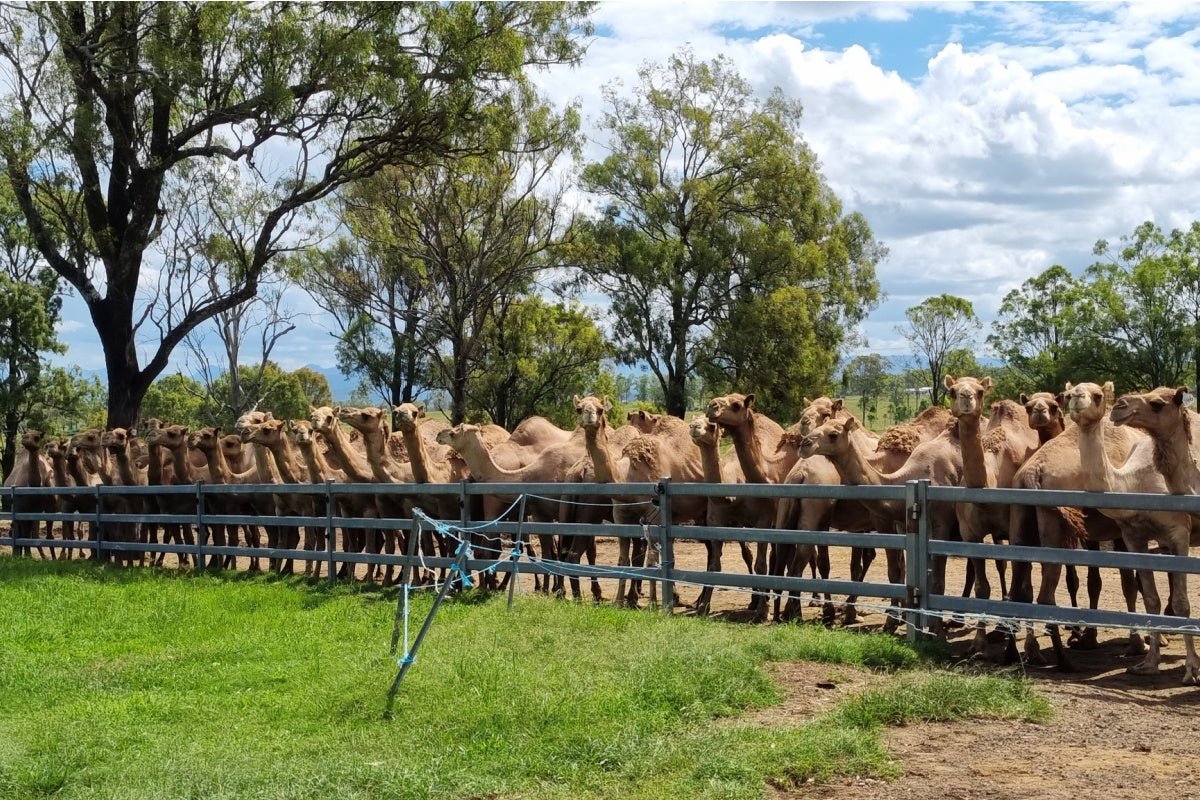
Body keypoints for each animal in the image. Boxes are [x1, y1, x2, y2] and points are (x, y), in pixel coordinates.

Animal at [1068, 382, 1199, 683]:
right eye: (1068, 394)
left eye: (1097, 395)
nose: (1077, 398)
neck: (1135, 482)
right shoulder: (1133, 537)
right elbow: (1150, 598)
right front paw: (1148, 663)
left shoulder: (1179, 532)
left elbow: (1183, 603)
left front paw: (1191, 670)